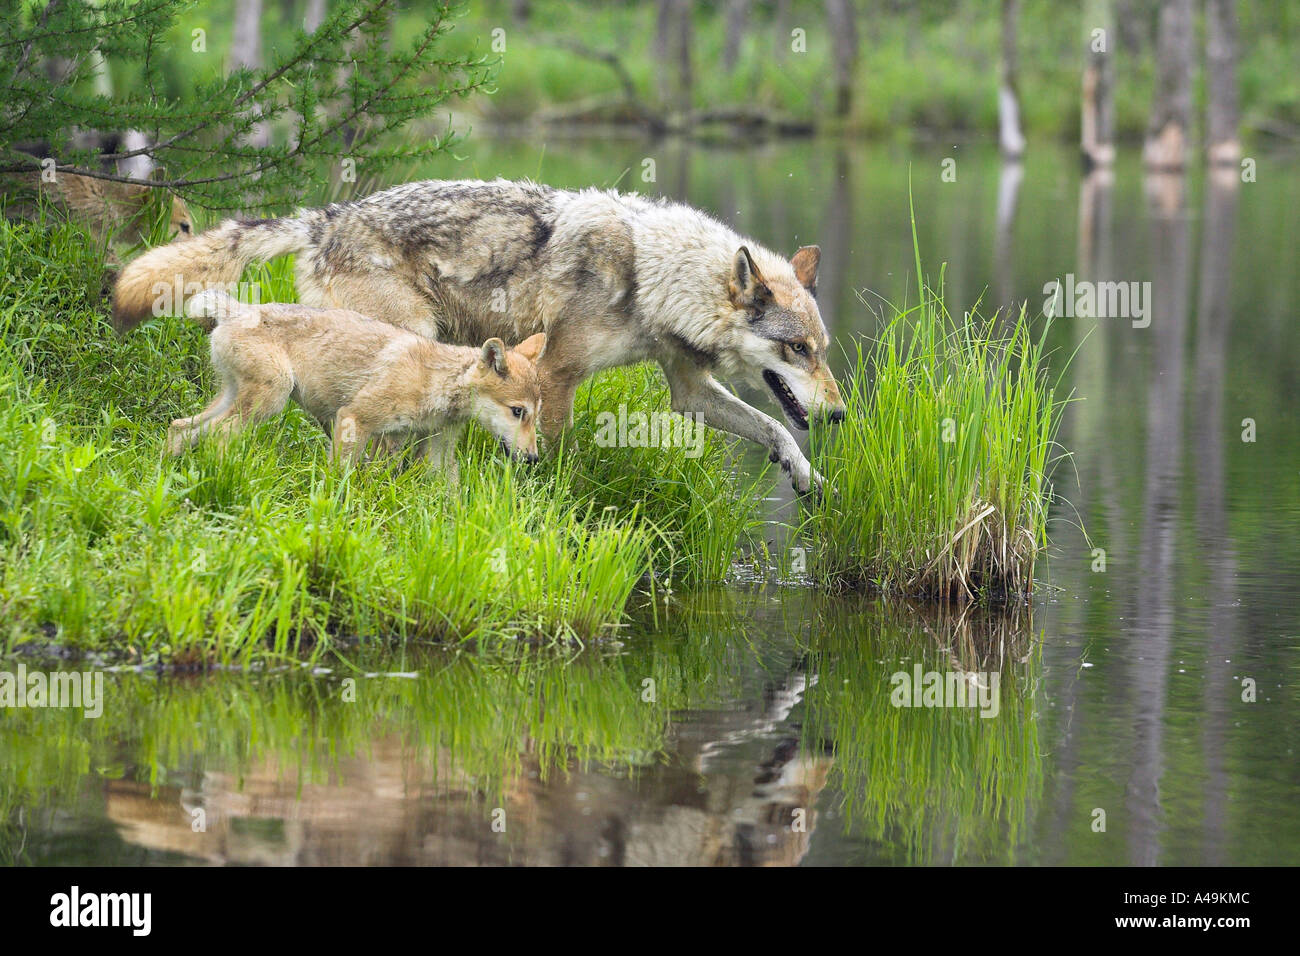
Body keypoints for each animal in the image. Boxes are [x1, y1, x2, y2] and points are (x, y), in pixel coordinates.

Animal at [171, 289, 545, 483]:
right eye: (518, 412)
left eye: (535, 415)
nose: (533, 459)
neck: (437, 382)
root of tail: (238, 309)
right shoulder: (353, 419)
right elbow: (340, 478)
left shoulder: (437, 451)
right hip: (269, 401)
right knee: (216, 433)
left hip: (235, 399)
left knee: (180, 427)